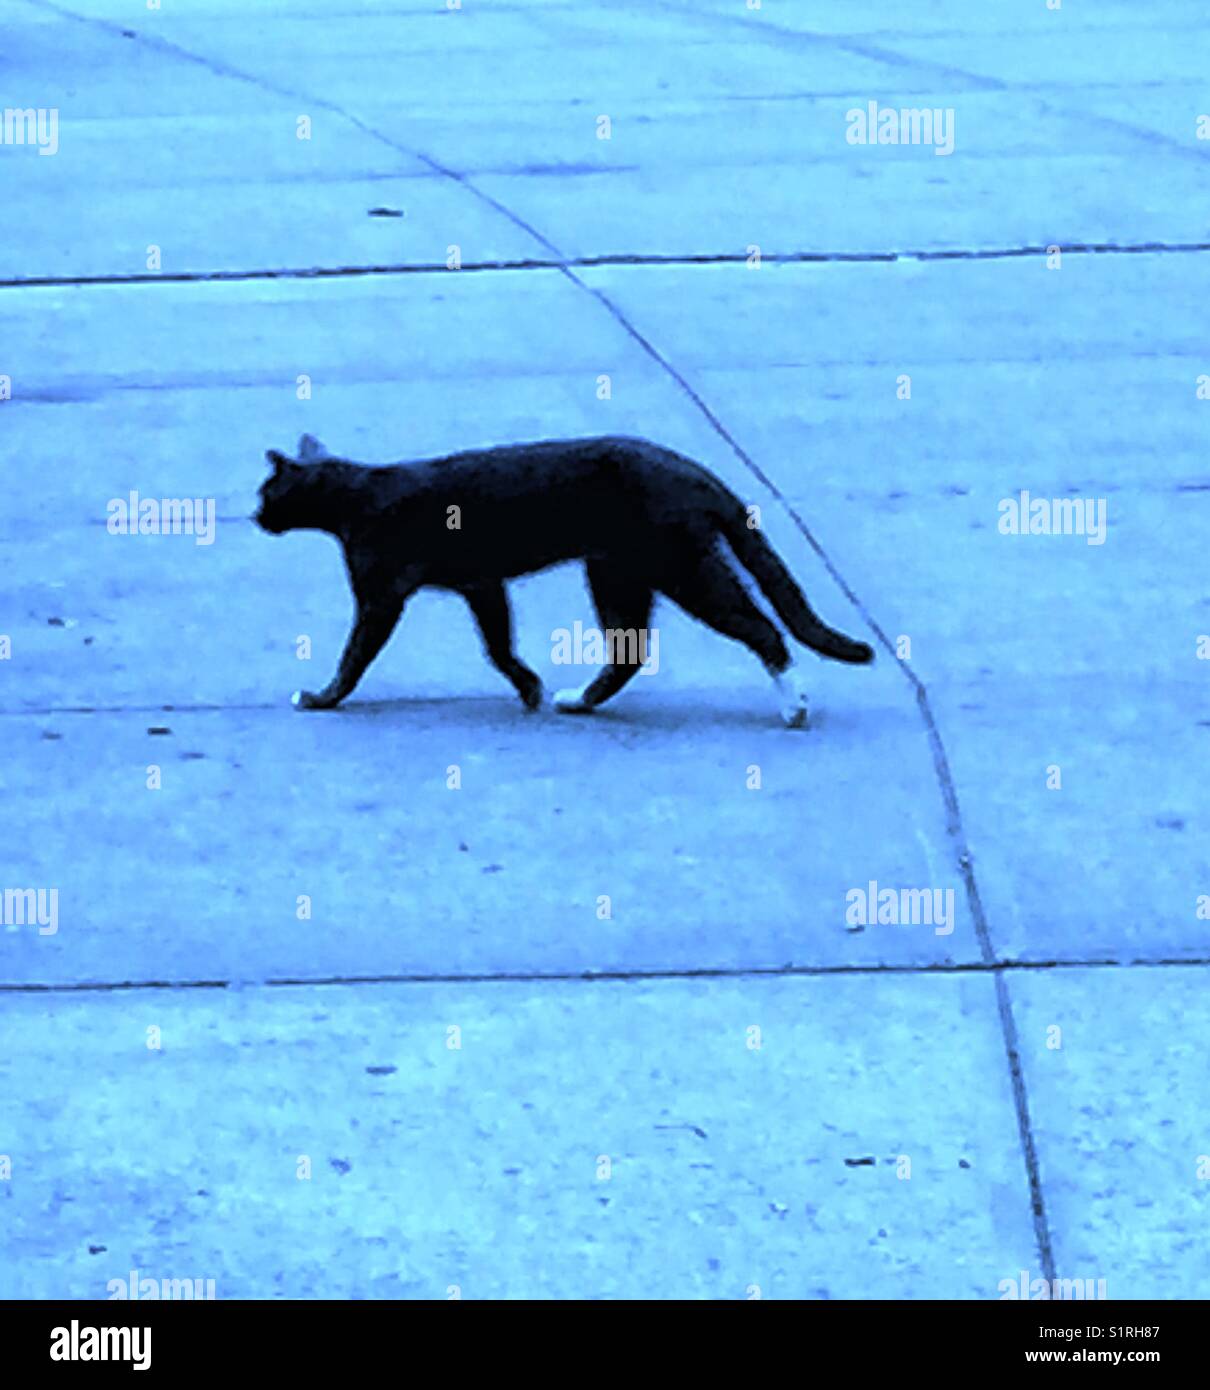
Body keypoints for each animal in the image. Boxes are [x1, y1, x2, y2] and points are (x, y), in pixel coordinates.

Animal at [252, 433, 872, 728]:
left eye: (266, 491)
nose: (254, 514)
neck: (354, 495)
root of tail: (695, 470)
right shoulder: (482, 584)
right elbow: (498, 644)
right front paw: (529, 687)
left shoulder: (380, 595)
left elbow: (354, 655)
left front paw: (320, 697)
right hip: (617, 572)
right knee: (631, 648)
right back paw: (578, 701)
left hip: (680, 567)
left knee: (760, 628)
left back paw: (794, 707)